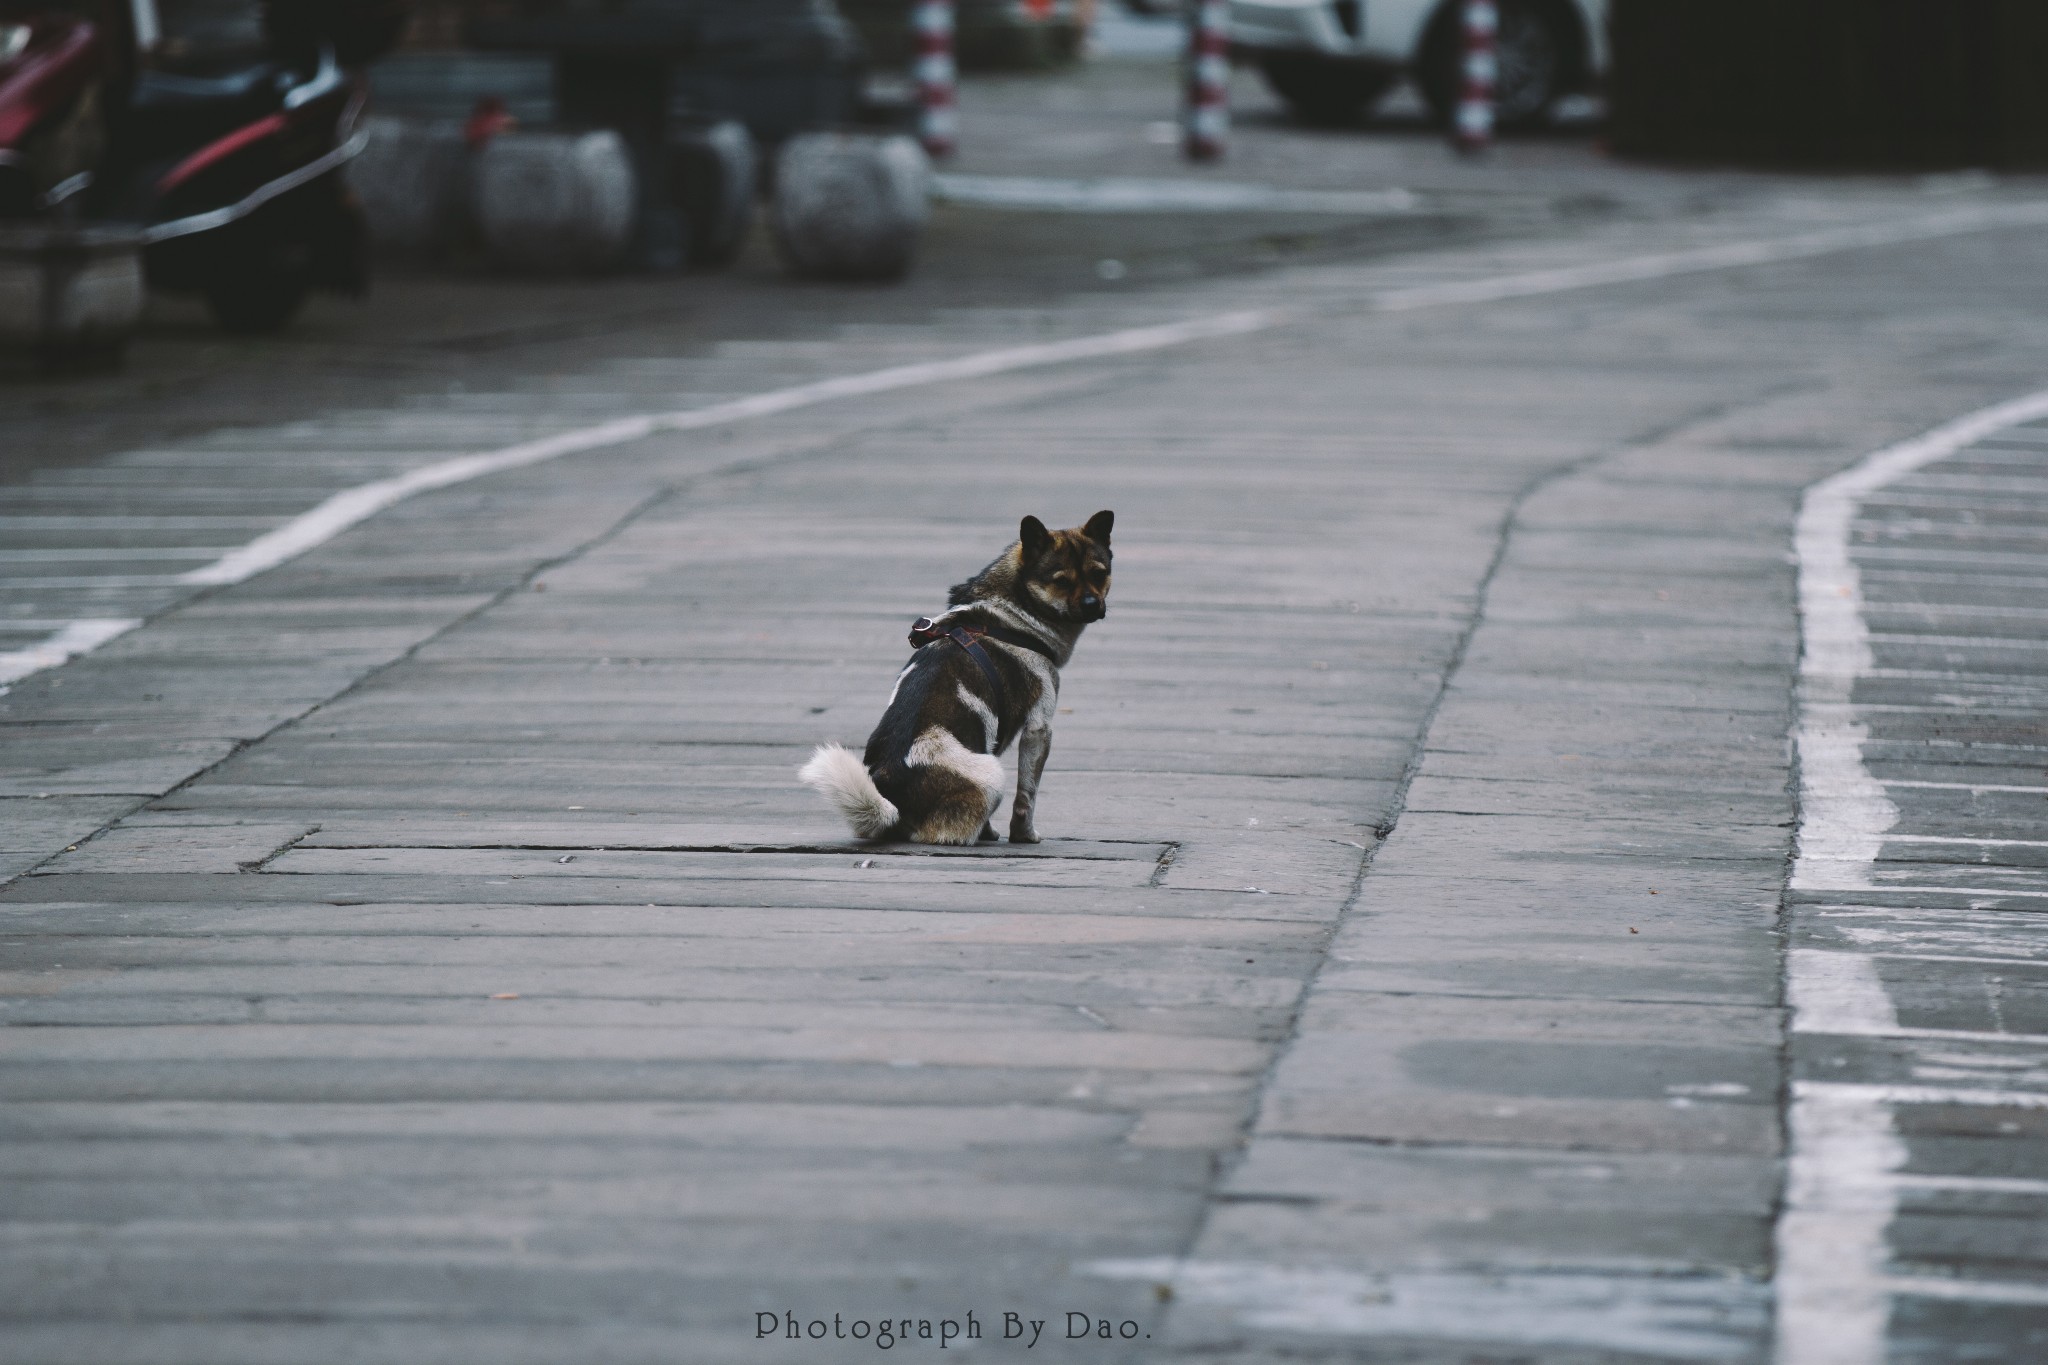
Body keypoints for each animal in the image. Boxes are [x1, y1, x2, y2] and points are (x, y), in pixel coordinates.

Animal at [802, 511, 1122, 843]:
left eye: (1099, 574)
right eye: (1061, 581)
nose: (1091, 605)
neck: (1013, 613)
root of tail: (894, 807)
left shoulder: (993, 734)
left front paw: (991, 832)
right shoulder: (1039, 727)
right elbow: (1027, 795)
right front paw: (1023, 835)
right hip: (992, 775)